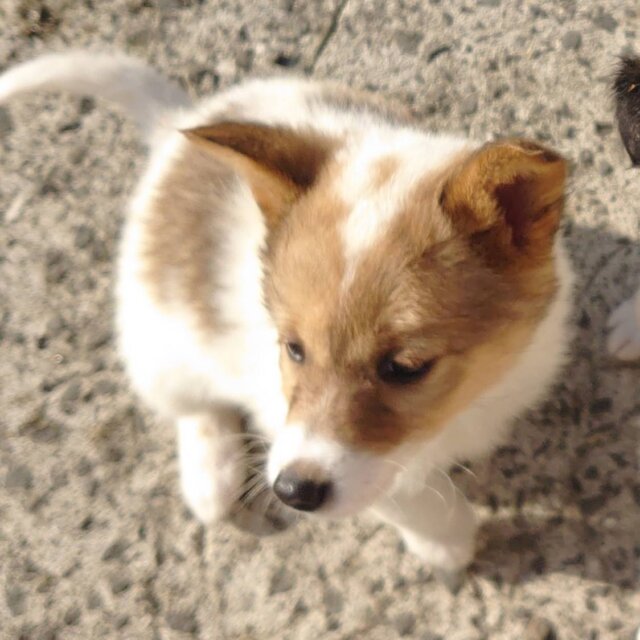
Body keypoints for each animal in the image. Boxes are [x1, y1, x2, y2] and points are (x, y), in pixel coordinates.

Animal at [0, 51, 574, 575]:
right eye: (294, 348)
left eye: (404, 368)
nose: (292, 492)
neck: (470, 401)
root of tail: (172, 130)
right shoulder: (286, 417)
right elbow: (407, 499)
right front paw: (447, 544)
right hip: (156, 341)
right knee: (192, 407)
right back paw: (213, 477)